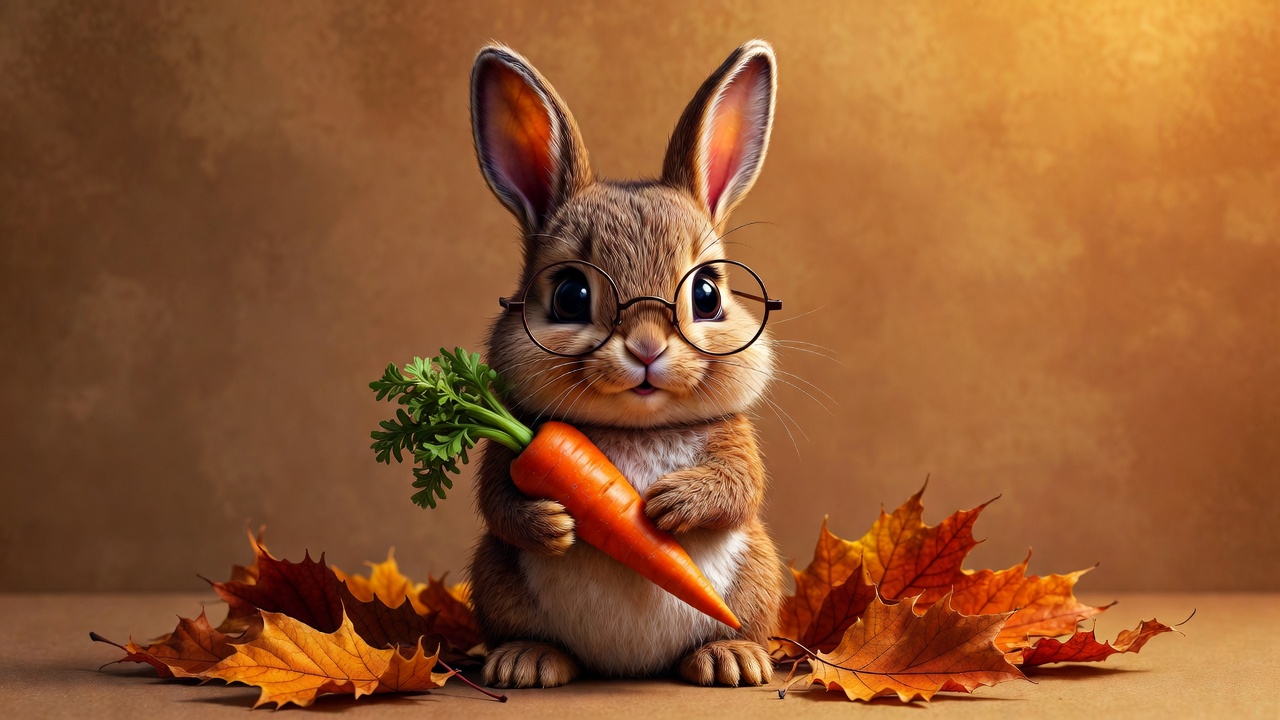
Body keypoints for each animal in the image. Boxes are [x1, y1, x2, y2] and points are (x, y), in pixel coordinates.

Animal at [465, 40, 784, 688]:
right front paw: (554, 524)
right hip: (495, 577)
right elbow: (500, 502)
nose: (645, 348)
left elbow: (741, 486)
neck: (633, 430)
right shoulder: (515, 446)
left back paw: (731, 659)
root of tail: (627, 665)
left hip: (757, 573)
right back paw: (525, 661)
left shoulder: (733, 443)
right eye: (570, 295)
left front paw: (669, 505)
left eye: (707, 294)